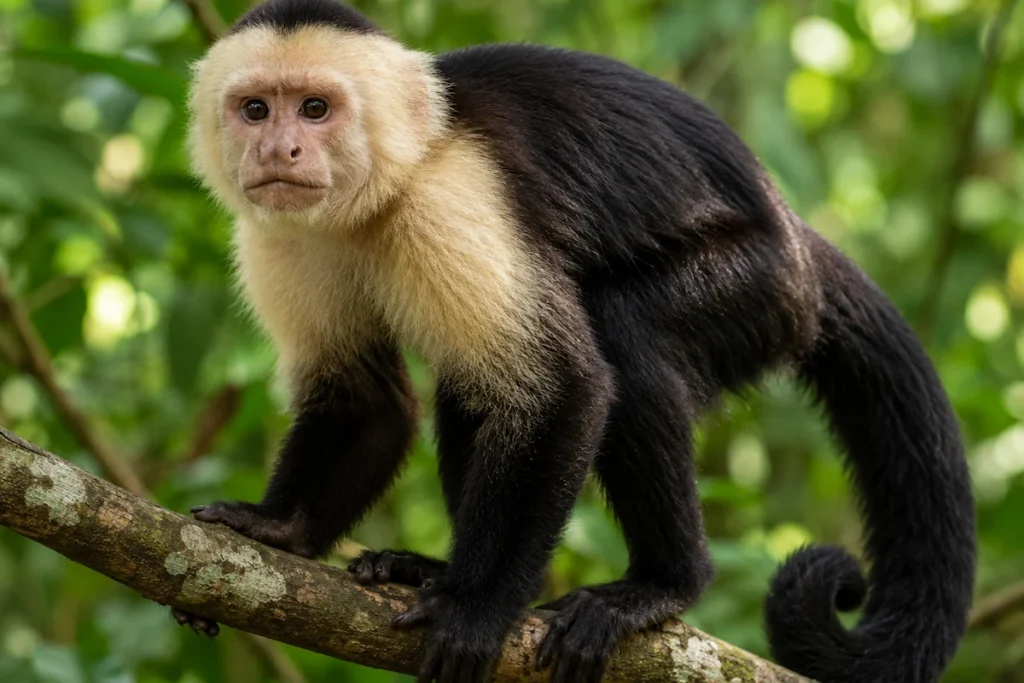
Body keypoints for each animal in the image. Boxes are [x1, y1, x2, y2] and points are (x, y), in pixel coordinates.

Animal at [171, 1, 977, 681]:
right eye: (254, 109)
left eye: (316, 107)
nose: (280, 147)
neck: (380, 191)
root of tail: (798, 242)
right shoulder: (279, 236)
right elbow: (365, 400)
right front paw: (277, 528)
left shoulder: (453, 200)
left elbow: (564, 388)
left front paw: (478, 610)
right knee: (471, 388)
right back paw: (434, 570)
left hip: (759, 286)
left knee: (623, 341)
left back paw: (660, 584)